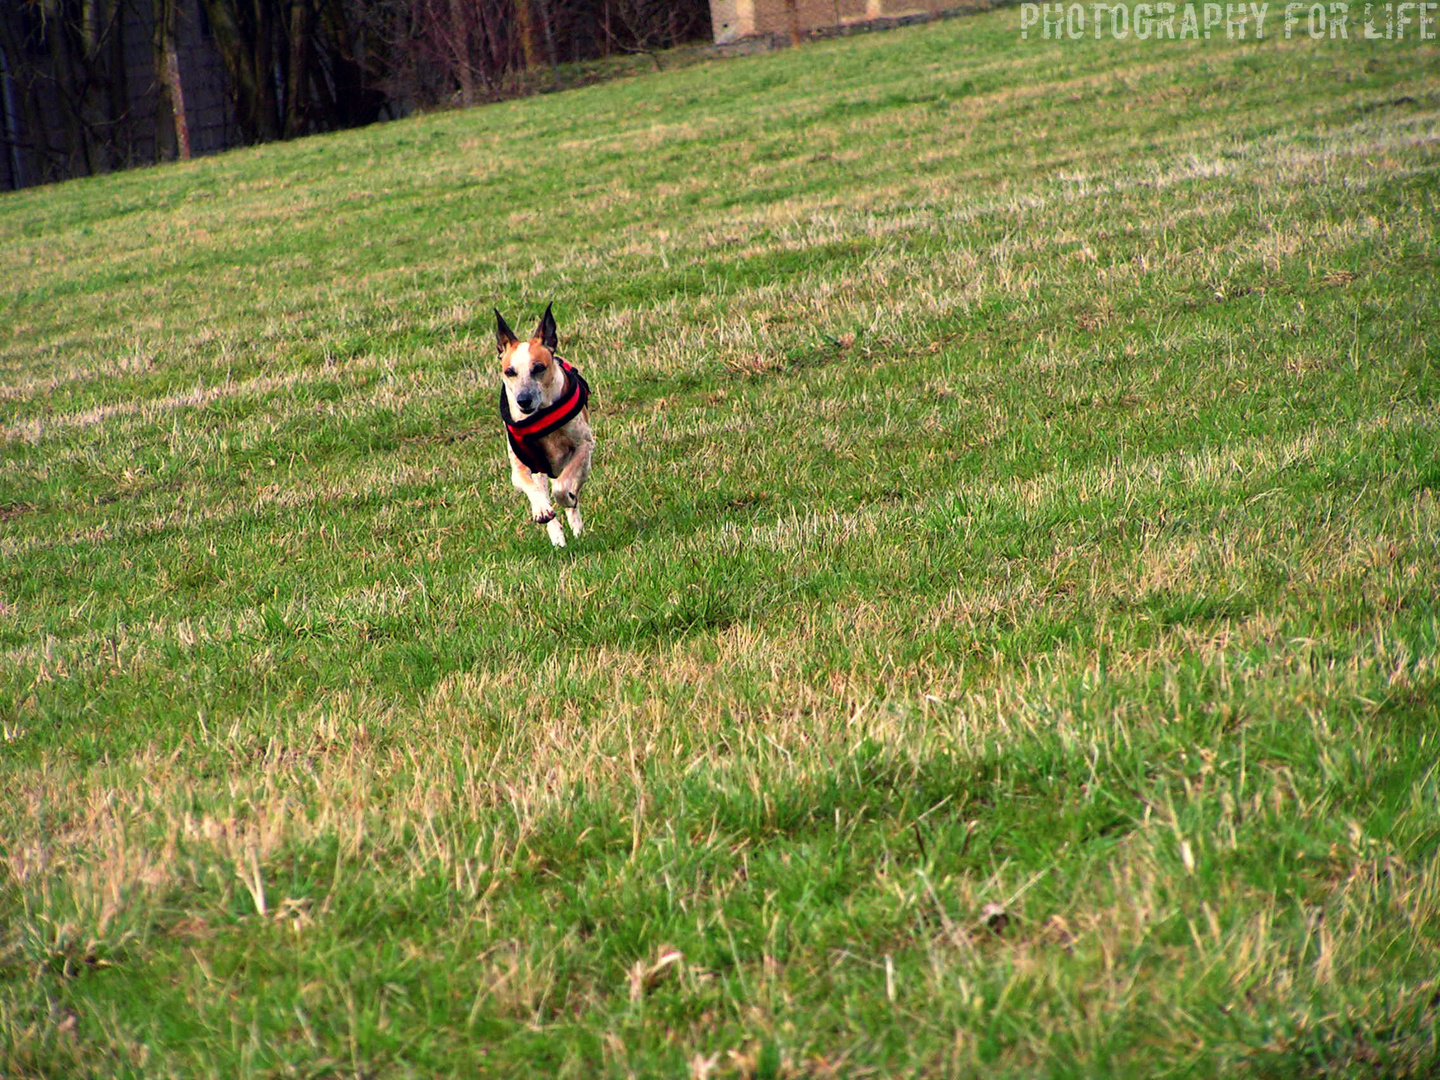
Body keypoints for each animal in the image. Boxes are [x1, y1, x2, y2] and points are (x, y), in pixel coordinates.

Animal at [489, 305, 590, 550]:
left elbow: (563, 487)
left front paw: (567, 499)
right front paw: (542, 510)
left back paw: (575, 524)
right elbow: (531, 487)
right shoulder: (521, 467)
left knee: (572, 488)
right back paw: (557, 536)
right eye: (509, 371)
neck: (540, 416)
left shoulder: (584, 446)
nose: (523, 401)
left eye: (538, 368)